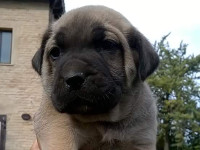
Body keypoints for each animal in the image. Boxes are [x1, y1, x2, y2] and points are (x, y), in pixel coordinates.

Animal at [32, 5, 159, 150]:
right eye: (55, 52)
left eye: (107, 45)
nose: (73, 78)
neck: (101, 119)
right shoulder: (56, 125)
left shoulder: (141, 138)